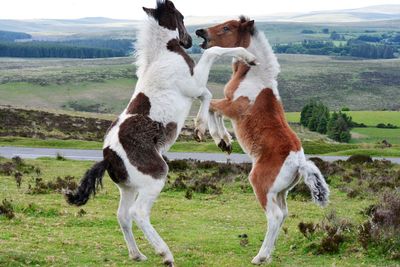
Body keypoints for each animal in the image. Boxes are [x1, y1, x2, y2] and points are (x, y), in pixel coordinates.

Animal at [64, 1, 255, 266]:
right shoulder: (193, 86)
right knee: (138, 213)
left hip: (129, 187)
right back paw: (165, 254)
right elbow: (211, 67)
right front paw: (201, 129)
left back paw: (137, 254)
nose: (190, 39)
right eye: (181, 16)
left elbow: (209, 94)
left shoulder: (194, 87)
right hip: (155, 177)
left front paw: (220, 139)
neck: (165, 53)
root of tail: (108, 156)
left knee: (123, 215)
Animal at [195, 17, 330, 266]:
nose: (200, 31)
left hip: (261, 186)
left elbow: (212, 107)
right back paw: (268, 254)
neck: (253, 74)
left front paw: (217, 137)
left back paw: (260, 256)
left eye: (227, 27)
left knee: (274, 216)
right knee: (283, 213)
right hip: (280, 192)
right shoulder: (229, 105)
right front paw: (225, 141)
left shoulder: (233, 107)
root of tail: (299, 162)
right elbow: (214, 110)